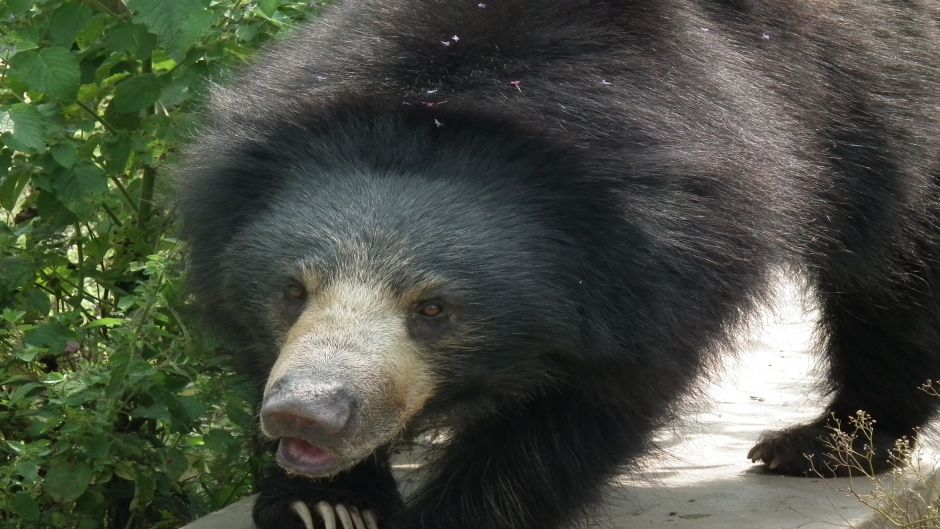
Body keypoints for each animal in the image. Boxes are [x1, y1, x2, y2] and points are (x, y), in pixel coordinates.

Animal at [176, 1, 940, 528]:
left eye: (433, 308)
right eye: (292, 291)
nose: (305, 417)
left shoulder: (665, 254)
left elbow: (587, 404)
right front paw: (325, 504)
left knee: (897, 271)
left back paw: (825, 444)